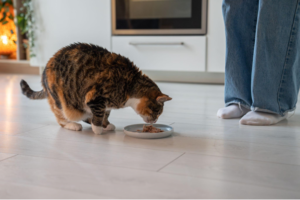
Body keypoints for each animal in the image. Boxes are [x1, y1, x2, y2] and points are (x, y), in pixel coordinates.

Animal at [19, 43, 172, 134]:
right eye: (157, 112)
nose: (155, 121)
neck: (130, 85)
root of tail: (45, 71)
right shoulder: (96, 97)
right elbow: (99, 114)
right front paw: (98, 129)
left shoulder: (106, 104)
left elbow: (105, 114)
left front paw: (106, 125)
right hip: (61, 100)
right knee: (61, 117)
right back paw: (72, 125)